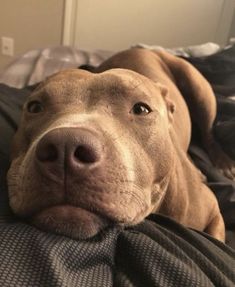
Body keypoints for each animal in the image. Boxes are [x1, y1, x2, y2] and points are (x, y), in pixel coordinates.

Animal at [7, 49, 228, 241]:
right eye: (35, 107)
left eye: (141, 109)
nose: (65, 147)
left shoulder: (214, 212)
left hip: (200, 90)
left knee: (209, 132)